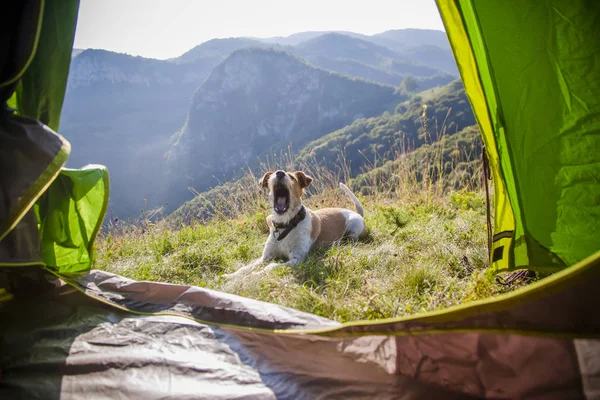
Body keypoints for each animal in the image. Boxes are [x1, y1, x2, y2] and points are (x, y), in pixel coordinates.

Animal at [224, 170, 366, 278]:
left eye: (292, 177)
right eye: (272, 174)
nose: (279, 173)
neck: (286, 226)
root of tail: (356, 213)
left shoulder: (297, 259)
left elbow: (271, 266)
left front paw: (256, 274)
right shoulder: (265, 257)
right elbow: (245, 268)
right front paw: (230, 276)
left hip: (355, 226)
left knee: (351, 240)